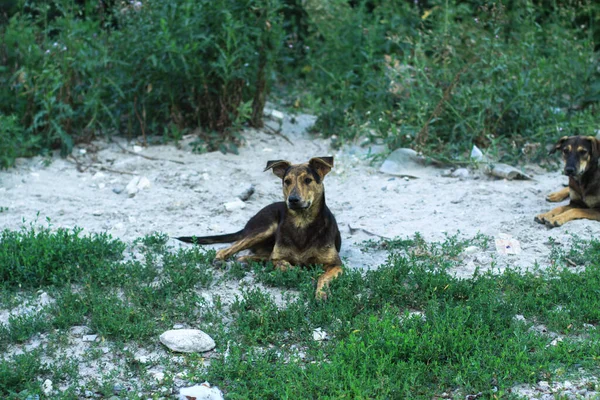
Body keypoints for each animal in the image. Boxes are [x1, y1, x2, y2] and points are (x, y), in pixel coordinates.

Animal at [176, 156, 340, 300]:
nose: (293, 200)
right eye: (287, 181)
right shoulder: (278, 258)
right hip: (265, 229)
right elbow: (288, 266)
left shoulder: (336, 264)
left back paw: (245, 262)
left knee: (248, 256)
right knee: (226, 250)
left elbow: (323, 276)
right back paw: (222, 260)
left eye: (308, 180)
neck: (302, 222)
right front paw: (306, 276)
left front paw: (321, 293)